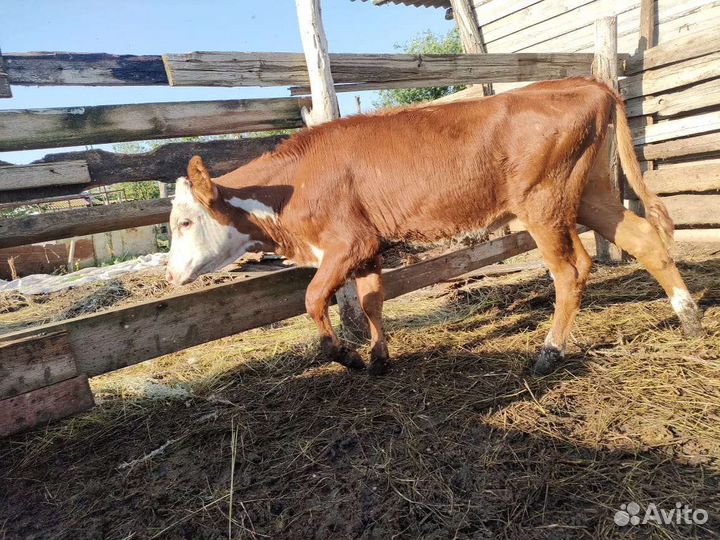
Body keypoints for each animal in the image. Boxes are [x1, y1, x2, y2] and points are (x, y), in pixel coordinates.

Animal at [165, 77, 704, 376]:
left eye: (185, 221)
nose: (170, 275)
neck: (294, 183)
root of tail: (585, 82)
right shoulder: (368, 246)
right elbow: (371, 301)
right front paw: (379, 358)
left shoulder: (347, 241)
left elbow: (314, 298)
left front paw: (346, 356)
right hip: (591, 192)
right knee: (645, 239)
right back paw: (689, 321)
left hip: (542, 203)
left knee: (570, 271)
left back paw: (550, 352)